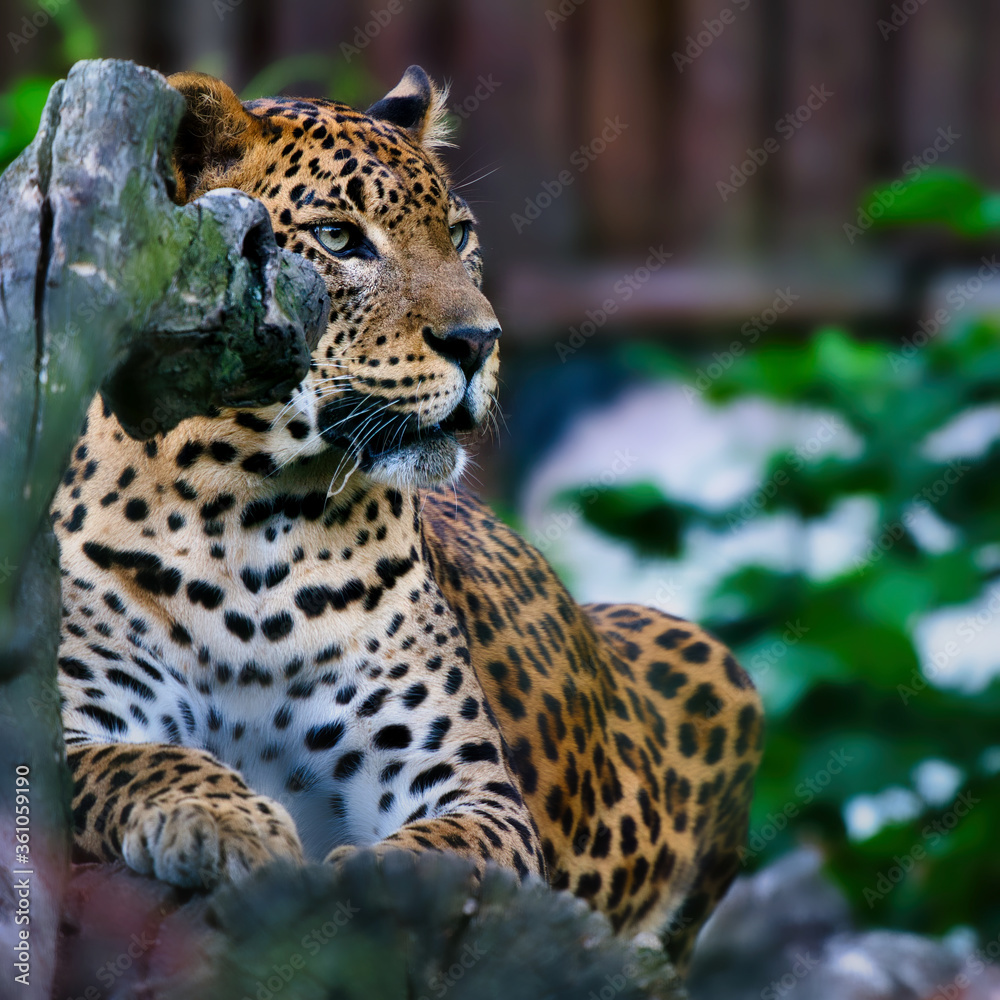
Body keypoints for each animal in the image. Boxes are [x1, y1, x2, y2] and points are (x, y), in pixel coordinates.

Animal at [50, 65, 763, 973]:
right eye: (339, 238)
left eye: (458, 235)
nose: (479, 340)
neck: (245, 518)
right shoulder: (75, 725)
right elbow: (147, 760)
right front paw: (226, 822)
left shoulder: (465, 782)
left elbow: (451, 850)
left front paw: (367, 888)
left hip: (709, 660)